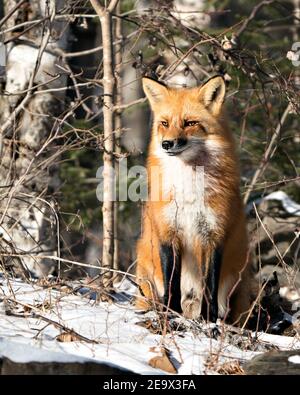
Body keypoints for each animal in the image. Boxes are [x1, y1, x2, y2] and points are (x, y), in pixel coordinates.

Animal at [136, 75, 255, 324]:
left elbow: (209, 286)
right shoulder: (168, 233)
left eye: (190, 123)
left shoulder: (213, 235)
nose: (167, 144)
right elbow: (172, 283)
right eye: (164, 123)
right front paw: (171, 314)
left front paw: (209, 319)